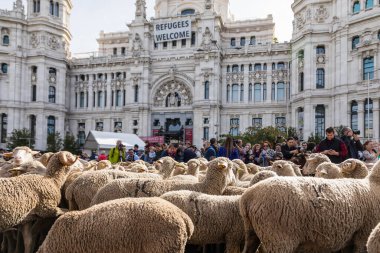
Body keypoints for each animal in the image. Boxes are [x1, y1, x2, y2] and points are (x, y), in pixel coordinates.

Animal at [240, 159, 380, 252]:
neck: (374, 185)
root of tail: (248, 195)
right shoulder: (364, 234)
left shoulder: (351, 239)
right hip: (278, 238)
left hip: (251, 233)